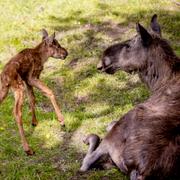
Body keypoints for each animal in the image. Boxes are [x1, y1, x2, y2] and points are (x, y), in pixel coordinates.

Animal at [80, 15, 180, 180]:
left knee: (87, 160)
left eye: (128, 45)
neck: (157, 83)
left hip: (112, 138)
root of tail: (141, 171)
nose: (104, 59)